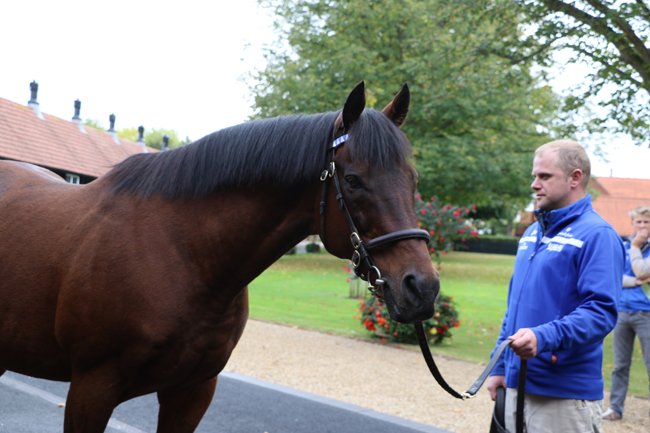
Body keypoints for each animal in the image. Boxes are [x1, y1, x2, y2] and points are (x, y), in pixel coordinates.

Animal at [0, 81, 439, 432]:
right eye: (352, 179)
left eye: (413, 179)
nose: (422, 287)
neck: (181, 254)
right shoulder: (91, 390)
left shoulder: (192, 392)